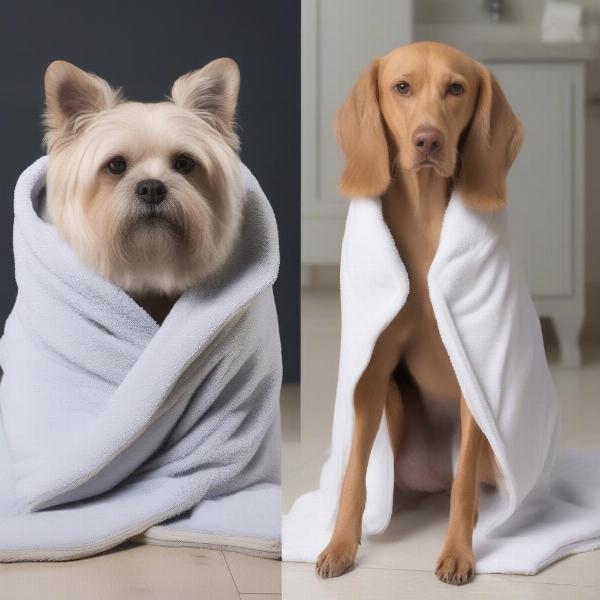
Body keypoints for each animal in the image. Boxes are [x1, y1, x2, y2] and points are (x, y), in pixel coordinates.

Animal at [316, 39, 524, 584]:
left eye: (456, 88)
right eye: (402, 87)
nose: (428, 140)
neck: (424, 219)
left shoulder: (473, 375)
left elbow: (465, 483)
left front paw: (458, 551)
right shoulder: (370, 375)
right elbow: (354, 474)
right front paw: (341, 544)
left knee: (466, 483)